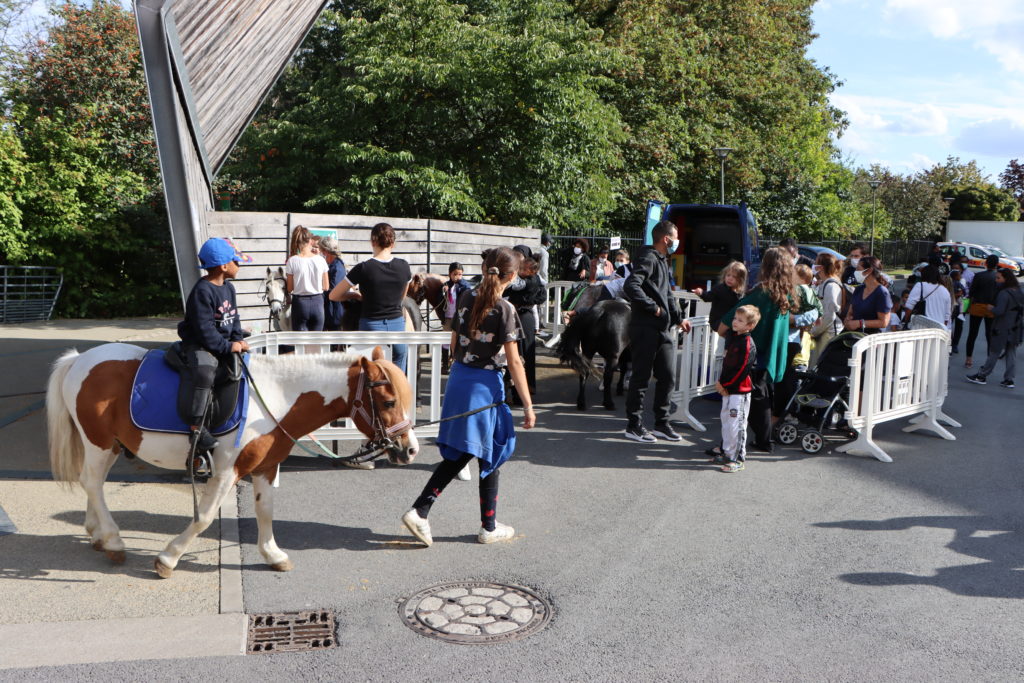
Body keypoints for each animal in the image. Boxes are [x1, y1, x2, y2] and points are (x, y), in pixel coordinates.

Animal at [47, 342, 415, 577]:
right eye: (388, 401)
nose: (409, 449)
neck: (276, 396)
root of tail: (79, 359)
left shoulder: (265, 467)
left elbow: (265, 511)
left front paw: (273, 554)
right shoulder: (226, 471)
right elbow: (205, 517)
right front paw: (168, 558)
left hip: (109, 444)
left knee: (94, 484)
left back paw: (97, 534)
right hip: (98, 441)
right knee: (91, 482)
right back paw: (113, 539)